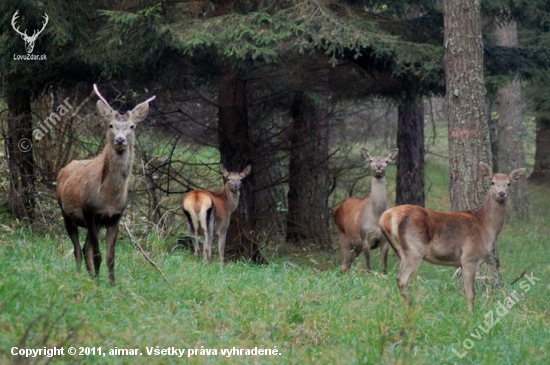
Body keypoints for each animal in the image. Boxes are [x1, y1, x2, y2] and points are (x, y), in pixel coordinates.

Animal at [56, 84, 155, 282]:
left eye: (132, 126)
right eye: (110, 125)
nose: (120, 139)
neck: (108, 197)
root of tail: (63, 170)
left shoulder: (115, 217)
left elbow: (111, 256)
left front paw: (111, 283)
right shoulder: (90, 213)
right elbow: (97, 255)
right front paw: (98, 283)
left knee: (84, 248)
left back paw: (90, 276)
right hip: (65, 212)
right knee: (77, 249)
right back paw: (80, 275)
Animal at [382, 162, 528, 310]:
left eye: (509, 183)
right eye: (492, 182)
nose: (501, 193)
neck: (486, 226)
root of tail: (386, 217)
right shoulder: (469, 257)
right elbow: (471, 293)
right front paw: (471, 313)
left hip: (400, 251)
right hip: (415, 248)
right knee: (402, 279)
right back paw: (410, 308)